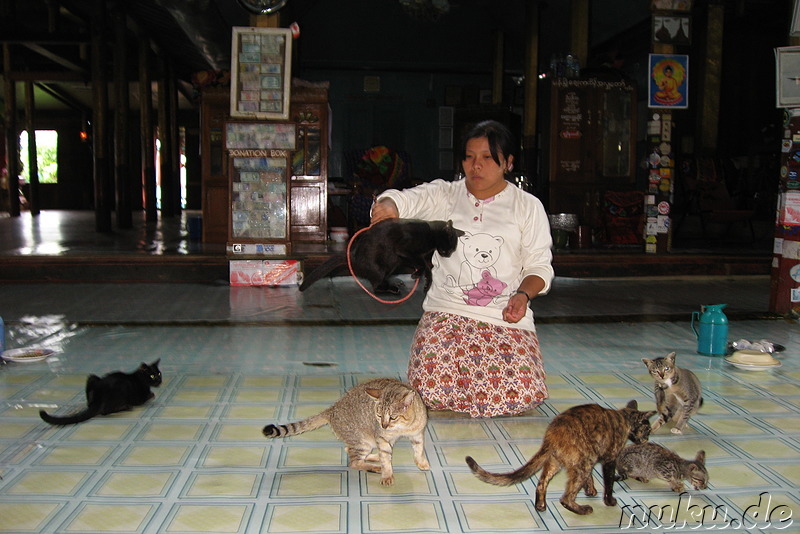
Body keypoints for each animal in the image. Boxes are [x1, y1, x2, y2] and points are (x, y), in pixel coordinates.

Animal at [262, 378, 428, 488]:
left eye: (393, 417)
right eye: (379, 415)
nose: (383, 425)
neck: (402, 428)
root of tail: (332, 409)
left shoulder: (417, 434)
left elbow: (418, 449)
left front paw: (421, 462)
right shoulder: (382, 437)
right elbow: (386, 459)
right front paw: (387, 474)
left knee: (351, 450)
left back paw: (375, 458)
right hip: (362, 442)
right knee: (354, 462)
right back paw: (375, 466)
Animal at [298, 220, 462, 296]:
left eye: (452, 250)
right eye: (448, 247)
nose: (448, 254)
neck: (431, 234)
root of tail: (352, 256)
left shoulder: (407, 257)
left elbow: (422, 265)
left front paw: (417, 275)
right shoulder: (404, 250)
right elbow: (425, 266)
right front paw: (425, 281)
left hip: (392, 264)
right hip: (381, 267)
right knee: (375, 288)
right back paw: (393, 289)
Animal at [462, 400, 656, 516]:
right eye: (647, 429)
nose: (647, 439)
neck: (624, 418)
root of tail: (552, 434)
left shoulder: (592, 456)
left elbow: (590, 479)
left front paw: (590, 490)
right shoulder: (609, 459)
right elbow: (608, 484)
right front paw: (609, 501)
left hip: (558, 462)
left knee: (542, 484)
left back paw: (540, 506)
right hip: (583, 462)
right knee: (566, 498)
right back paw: (582, 509)